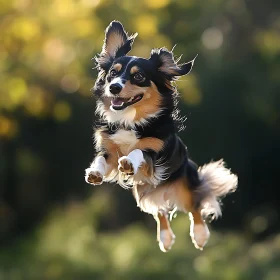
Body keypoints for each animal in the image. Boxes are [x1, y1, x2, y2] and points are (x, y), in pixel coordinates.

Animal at [84, 20, 237, 252]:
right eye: (112, 73)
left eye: (138, 76)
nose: (114, 87)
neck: (130, 120)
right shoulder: (109, 150)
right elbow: (102, 160)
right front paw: (94, 173)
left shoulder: (153, 154)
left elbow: (138, 151)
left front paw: (128, 162)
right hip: (143, 193)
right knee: (160, 212)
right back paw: (165, 238)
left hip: (184, 184)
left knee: (194, 206)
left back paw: (200, 235)